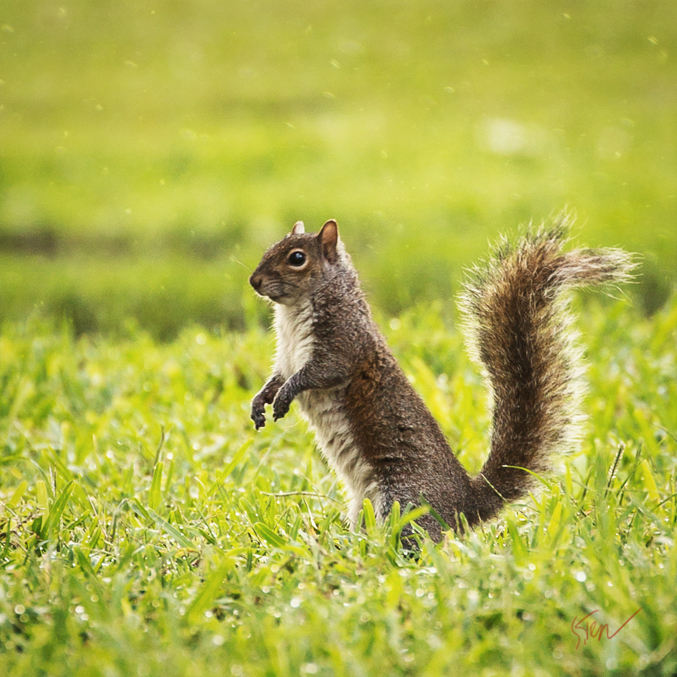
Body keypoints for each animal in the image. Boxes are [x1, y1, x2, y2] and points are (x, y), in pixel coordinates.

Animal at [248, 214, 632, 540]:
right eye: (271, 247)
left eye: (297, 258)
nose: (254, 281)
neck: (294, 313)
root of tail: (465, 505)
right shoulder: (286, 358)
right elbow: (276, 377)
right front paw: (260, 402)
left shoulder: (343, 345)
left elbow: (316, 373)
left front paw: (285, 396)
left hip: (404, 500)